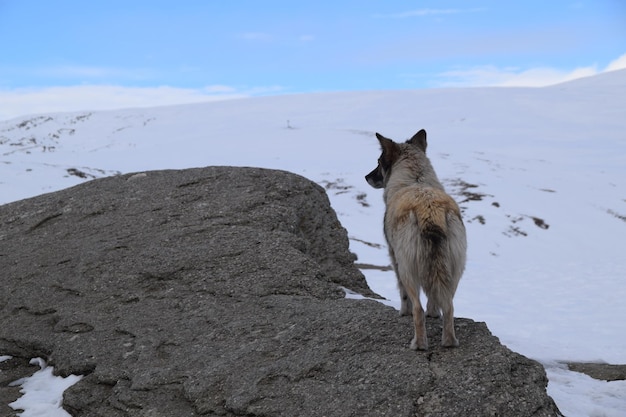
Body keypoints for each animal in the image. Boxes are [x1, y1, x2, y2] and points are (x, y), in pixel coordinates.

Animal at [364, 129, 466, 348]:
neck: (416, 178)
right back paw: (449, 341)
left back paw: (418, 344)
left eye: (378, 161)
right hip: (455, 269)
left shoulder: (394, 256)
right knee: (449, 306)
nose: (366, 177)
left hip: (408, 268)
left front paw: (403, 312)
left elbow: (403, 294)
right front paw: (433, 314)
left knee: (417, 308)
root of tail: (430, 211)